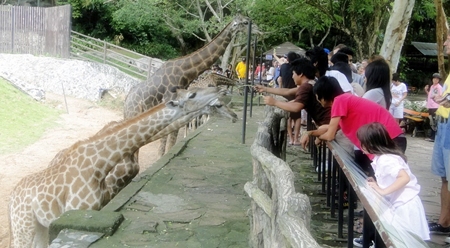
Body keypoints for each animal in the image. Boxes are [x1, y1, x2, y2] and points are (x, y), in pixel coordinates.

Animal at [8, 87, 234, 248]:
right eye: (193, 94)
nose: (234, 115)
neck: (98, 165)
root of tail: (11, 198)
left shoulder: (98, 206)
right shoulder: (79, 209)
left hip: (39, 225)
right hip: (23, 226)